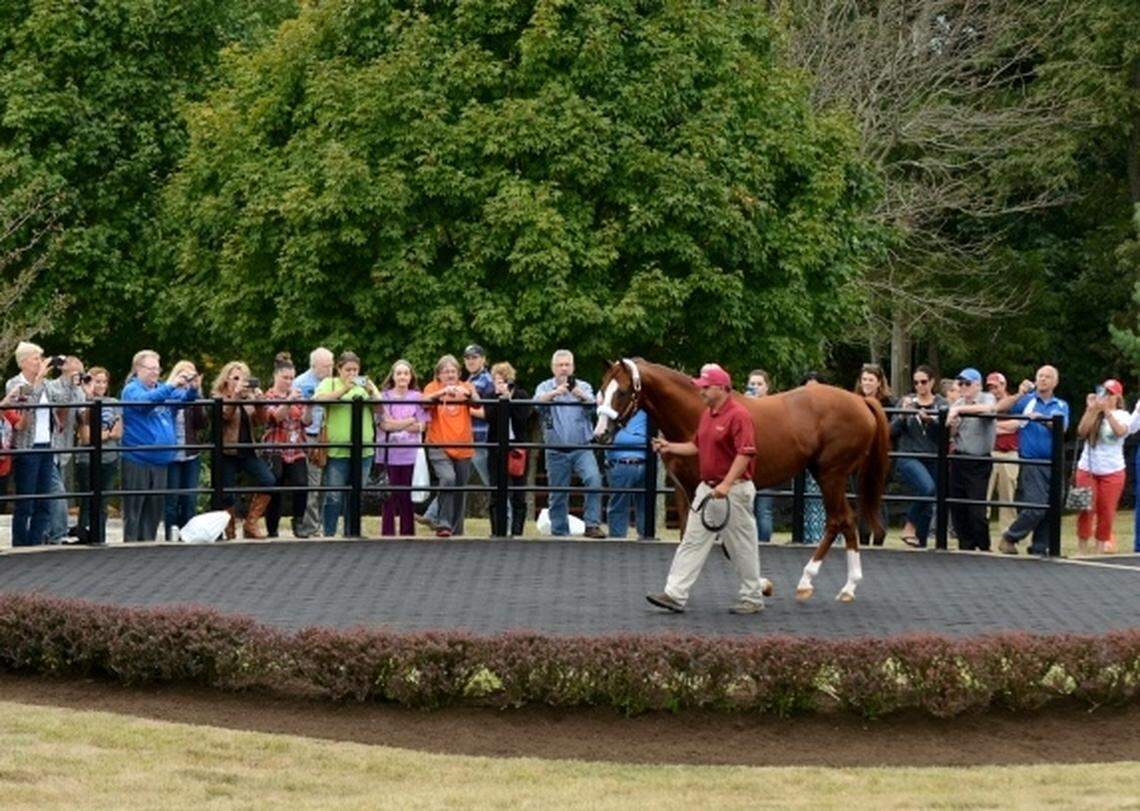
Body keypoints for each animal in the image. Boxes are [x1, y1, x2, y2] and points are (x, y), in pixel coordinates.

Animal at [592, 358, 890, 602]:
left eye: (621, 391)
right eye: (602, 390)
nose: (600, 434)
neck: (696, 414)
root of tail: (861, 401)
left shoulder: (711, 492)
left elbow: (724, 542)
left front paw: (762, 584)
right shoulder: (687, 490)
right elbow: (690, 537)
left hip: (831, 474)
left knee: (839, 520)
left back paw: (812, 582)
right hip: (827, 475)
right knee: (847, 521)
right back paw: (847, 586)